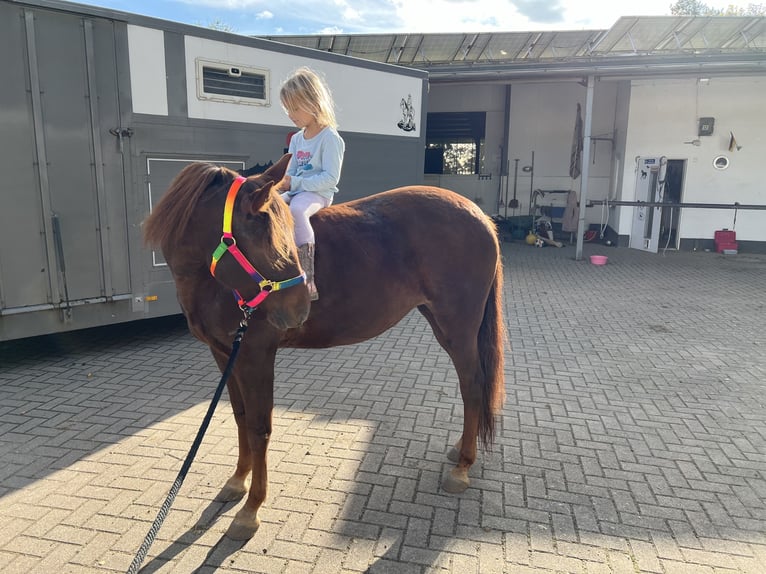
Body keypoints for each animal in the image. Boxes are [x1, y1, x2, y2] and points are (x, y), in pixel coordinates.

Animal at [142, 155, 510, 544]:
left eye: (281, 236)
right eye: (263, 235)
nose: (298, 307)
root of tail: (478, 214)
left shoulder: (256, 355)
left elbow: (259, 426)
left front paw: (250, 509)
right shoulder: (225, 355)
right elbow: (241, 417)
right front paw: (237, 481)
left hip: (459, 328)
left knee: (472, 386)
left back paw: (462, 466)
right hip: (441, 323)